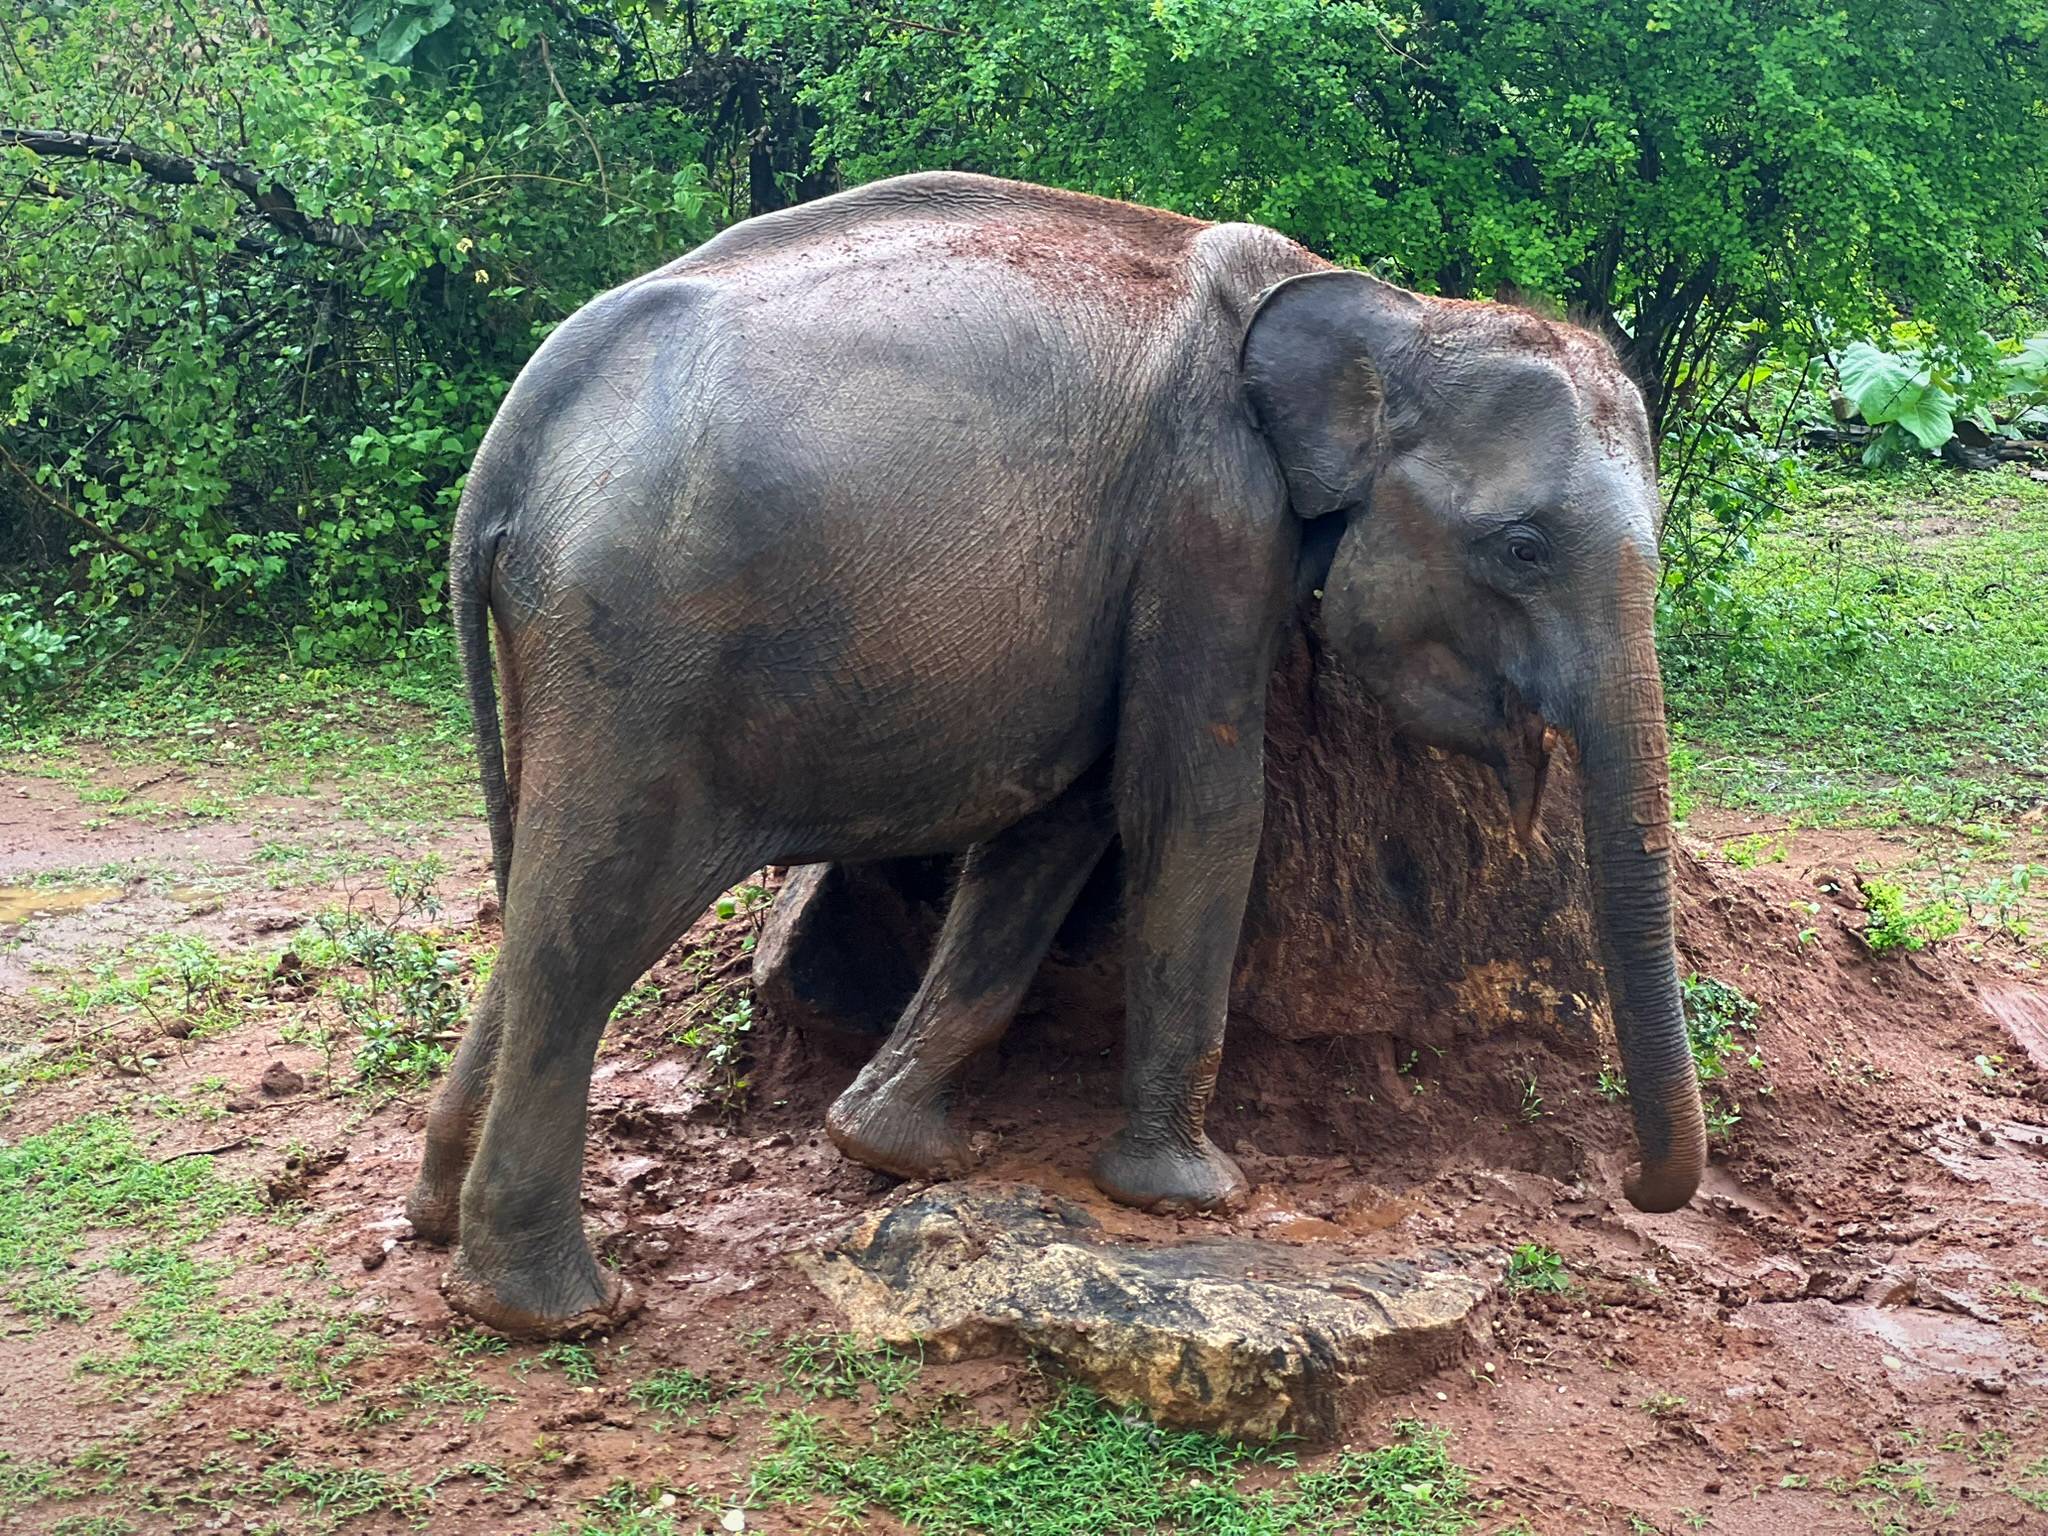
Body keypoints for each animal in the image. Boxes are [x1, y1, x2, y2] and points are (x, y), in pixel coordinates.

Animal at [405, 170, 1706, 1339]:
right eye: (1521, 549)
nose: (1626, 1187)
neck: (1392, 309)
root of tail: (509, 450)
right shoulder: (1209, 515)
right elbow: (1194, 803)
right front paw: (1193, 1194)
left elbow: (1066, 814)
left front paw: (897, 1152)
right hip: (640, 649)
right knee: (588, 927)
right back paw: (557, 1312)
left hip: (578, 647)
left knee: (543, 898)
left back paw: (434, 1222)